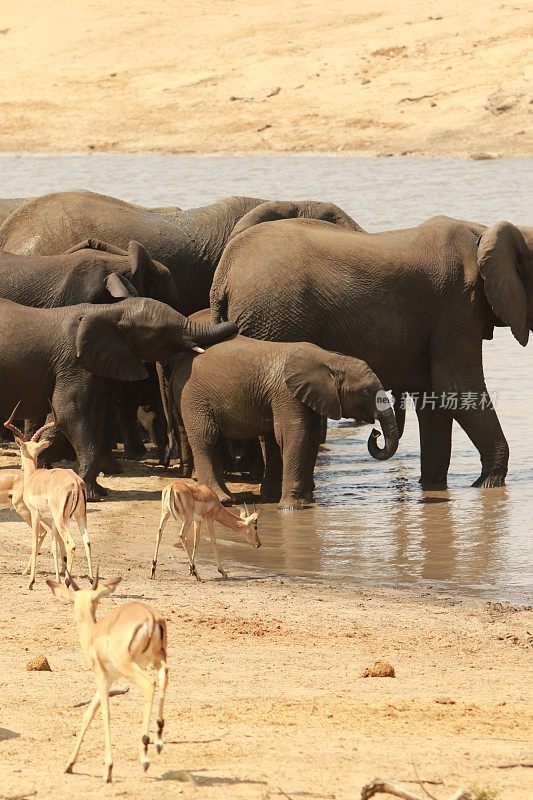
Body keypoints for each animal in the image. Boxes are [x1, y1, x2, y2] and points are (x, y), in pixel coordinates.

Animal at [0, 296, 235, 500]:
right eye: (162, 333)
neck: (110, 310)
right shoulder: (73, 363)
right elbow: (68, 411)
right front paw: (91, 496)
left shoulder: (92, 364)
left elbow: (79, 415)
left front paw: (96, 490)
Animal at [160, 334, 396, 510]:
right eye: (365, 392)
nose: (375, 432)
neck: (330, 359)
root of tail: (178, 363)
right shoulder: (287, 393)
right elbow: (295, 435)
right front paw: (292, 507)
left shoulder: (310, 396)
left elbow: (311, 437)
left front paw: (306, 500)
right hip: (193, 397)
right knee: (207, 438)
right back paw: (224, 500)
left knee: (216, 442)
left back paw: (230, 498)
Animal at [211, 216, 532, 488]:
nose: (374, 433)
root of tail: (222, 277)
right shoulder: (458, 303)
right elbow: (454, 384)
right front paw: (487, 485)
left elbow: (433, 396)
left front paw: (433, 486)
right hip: (274, 320)